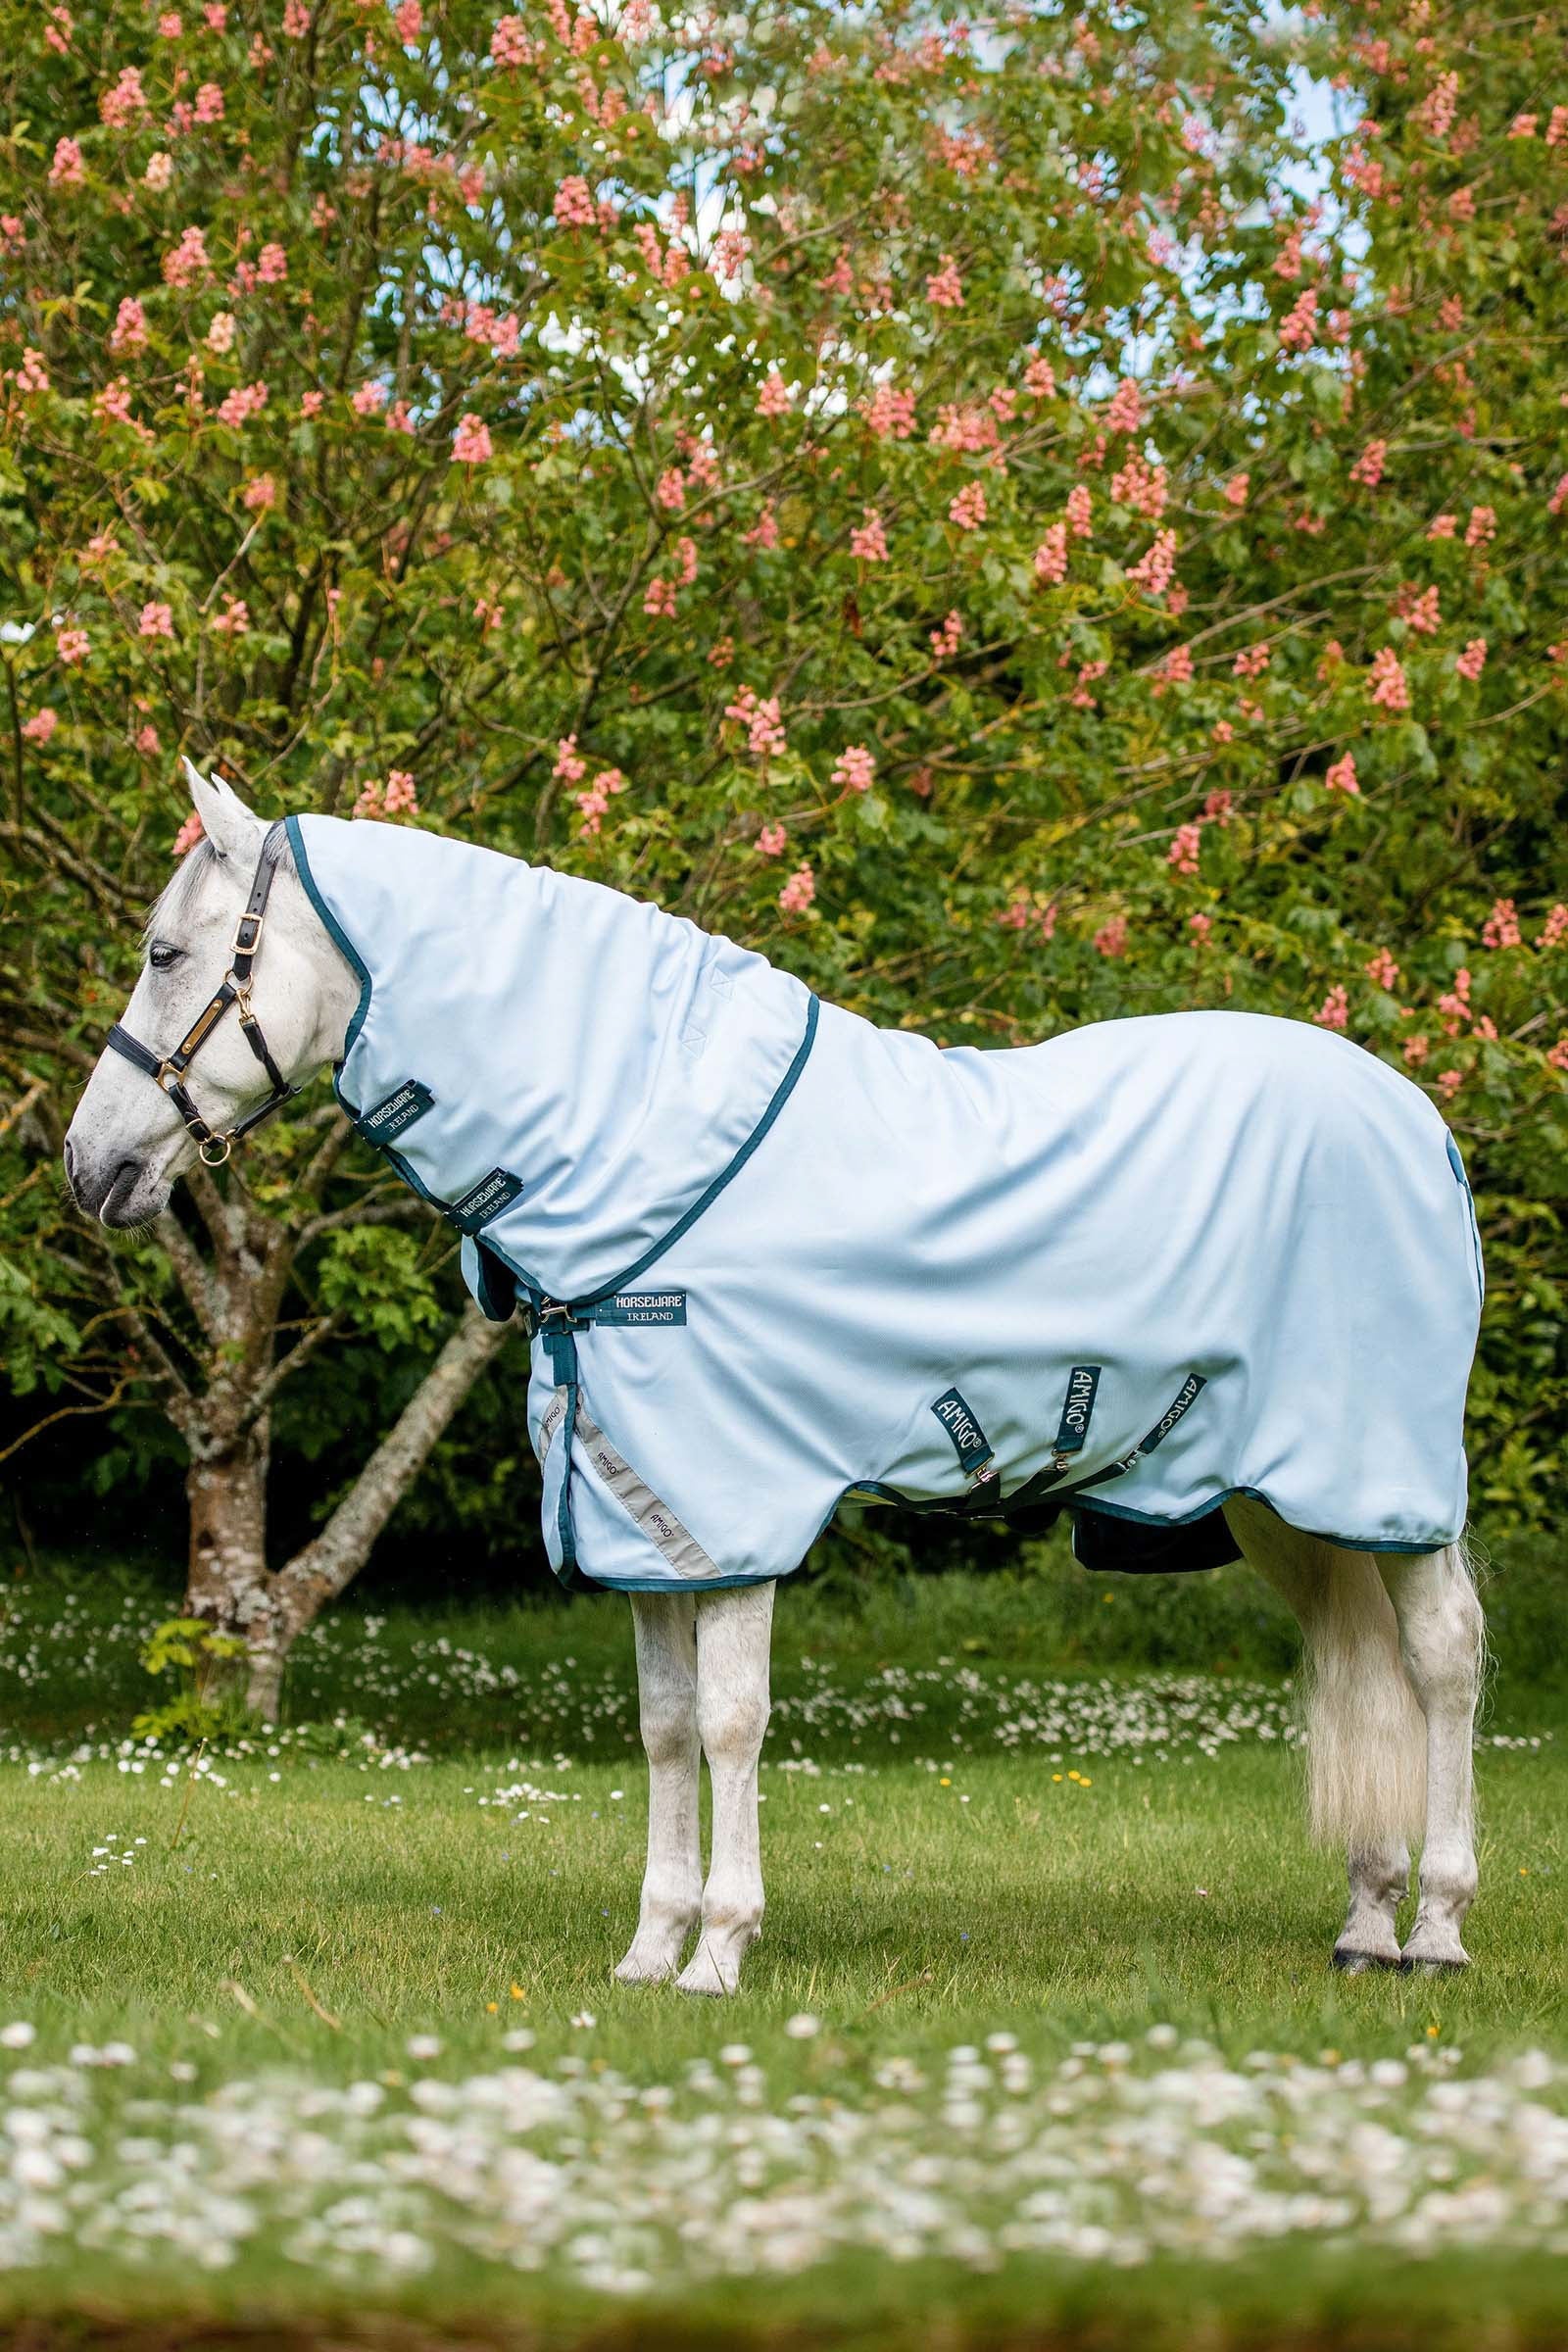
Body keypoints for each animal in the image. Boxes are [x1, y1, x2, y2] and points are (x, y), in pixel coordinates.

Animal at [65, 763, 1486, 1995]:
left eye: (166, 954)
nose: (89, 1169)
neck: (646, 1146)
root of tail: (1417, 1120)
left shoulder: (731, 1510)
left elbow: (734, 1722)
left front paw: (720, 1953)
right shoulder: (643, 1526)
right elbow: (665, 1727)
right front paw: (651, 1949)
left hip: (1384, 1480)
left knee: (1443, 1660)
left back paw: (1437, 1929)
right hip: (1286, 1499)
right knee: (1364, 1665)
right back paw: (1366, 1924)